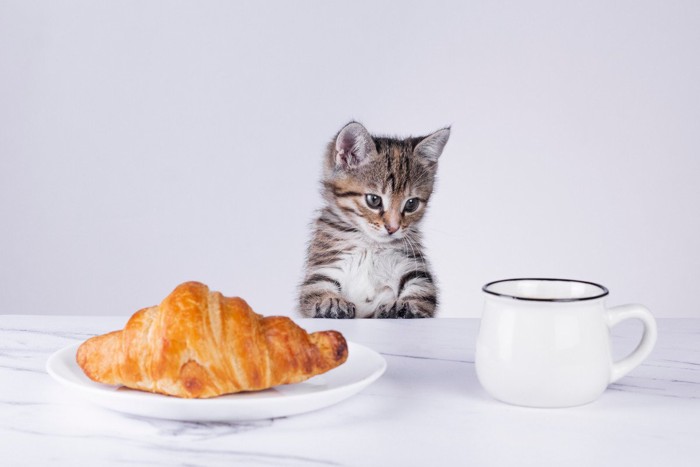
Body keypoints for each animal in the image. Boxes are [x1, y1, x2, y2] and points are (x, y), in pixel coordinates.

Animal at [296, 120, 448, 320]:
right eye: (374, 200)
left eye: (411, 204)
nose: (393, 228)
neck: (370, 244)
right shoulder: (323, 267)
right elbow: (315, 288)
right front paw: (331, 301)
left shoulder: (414, 267)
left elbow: (422, 292)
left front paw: (403, 305)